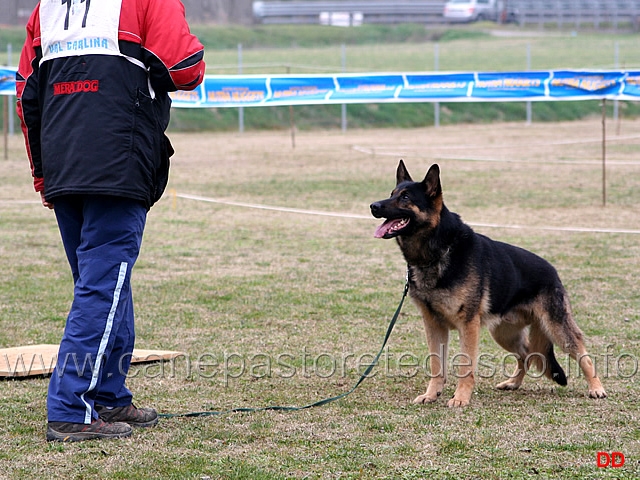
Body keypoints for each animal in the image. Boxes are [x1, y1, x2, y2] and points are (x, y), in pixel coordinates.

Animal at [370, 163, 604, 406]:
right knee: (527, 354)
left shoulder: (468, 325)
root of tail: (552, 271)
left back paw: (596, 388)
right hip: (503, 333)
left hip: (557, 328)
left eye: (405, 197)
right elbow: (436, 364)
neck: (438, 250)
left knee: (582, 353)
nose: (373, 206)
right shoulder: (433, 325)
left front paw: (460, 398)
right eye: (392, 194)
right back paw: (513, 383)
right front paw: (431, 394)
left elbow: (465, 365)